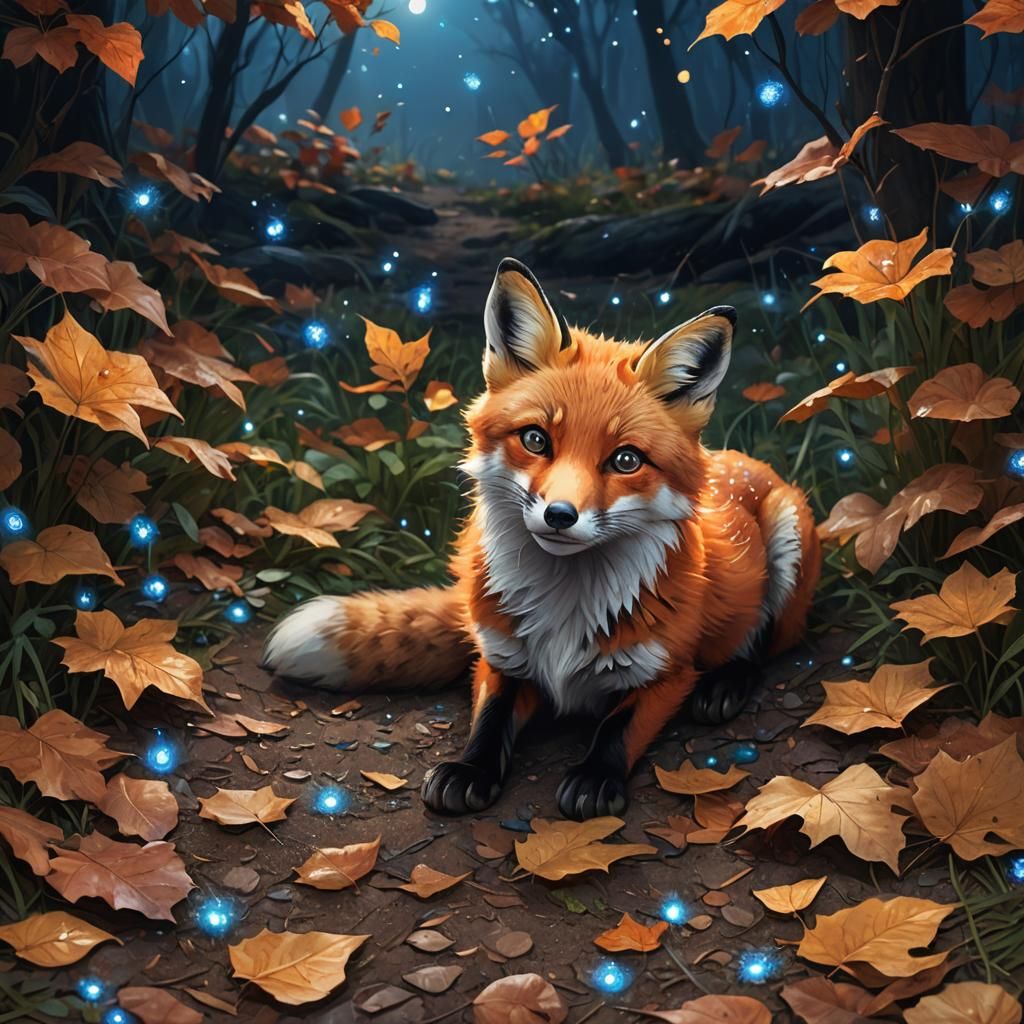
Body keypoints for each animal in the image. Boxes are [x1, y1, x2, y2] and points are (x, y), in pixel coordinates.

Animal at [262, 258, 820, 820]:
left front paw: (594, 777)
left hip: (786, 536)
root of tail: (743, 458)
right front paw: (470, 770)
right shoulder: (502, 656)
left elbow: (618, 726)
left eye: (626, 460)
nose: (559, 515)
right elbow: (491, 717)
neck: (566, 609)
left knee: (762, 640)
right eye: (535, 439)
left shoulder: (669, 672)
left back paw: (726, 683)